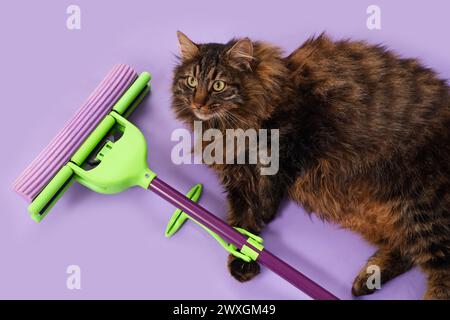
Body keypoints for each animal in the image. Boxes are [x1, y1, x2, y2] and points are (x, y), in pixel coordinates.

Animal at [171, 31, 448, 298]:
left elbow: (272, 178)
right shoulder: (238, 179)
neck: (229, 125)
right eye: (191, 82)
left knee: (440, 271)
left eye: (218, 85)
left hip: (419, 205)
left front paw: (265, 211)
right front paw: (242, 260)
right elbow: (240, 222)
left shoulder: (295, 137)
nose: (198, 103)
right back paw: (367, 280)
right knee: (406, 251)